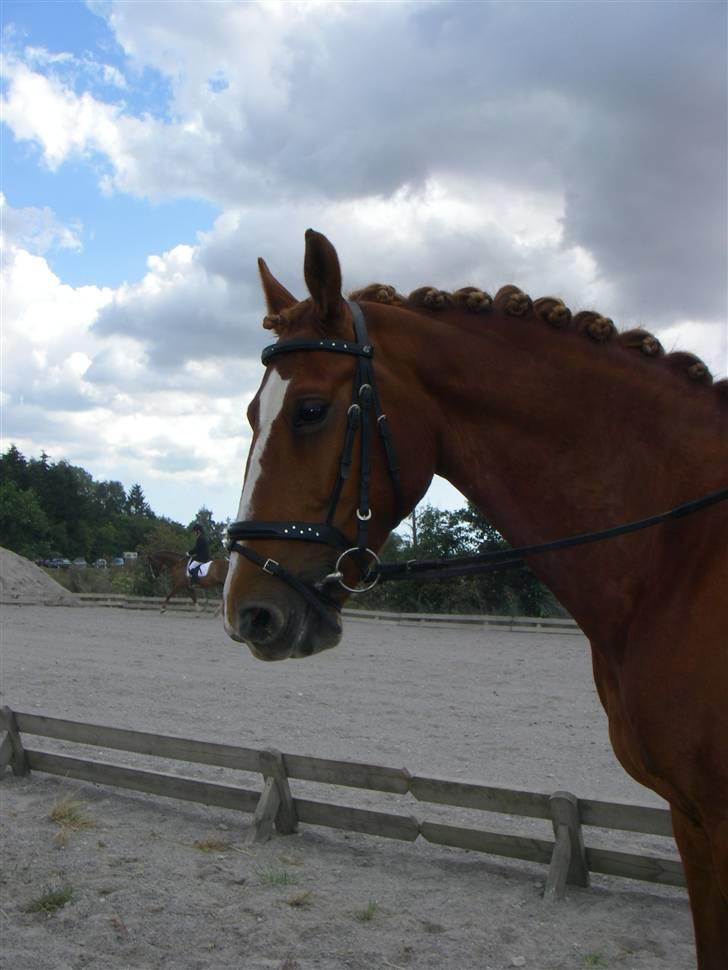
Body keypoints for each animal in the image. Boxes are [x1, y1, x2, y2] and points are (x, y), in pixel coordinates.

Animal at [225, 229, 728, 968]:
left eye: (310, 411)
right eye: (252, 415)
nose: (249, 613)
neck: (681, 551)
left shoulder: (717, 823)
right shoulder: (690, 821)